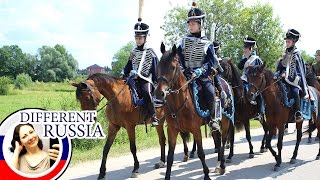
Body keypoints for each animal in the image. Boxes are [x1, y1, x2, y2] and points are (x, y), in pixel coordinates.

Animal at [155, 43, 232, 179]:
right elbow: (170, 157)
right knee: (218, 140)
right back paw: (218, 164)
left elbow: (201, 153)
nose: (160, 93)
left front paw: (206, 175)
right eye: (158, 67)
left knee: (223, 141)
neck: (180, 103)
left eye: (172, 67)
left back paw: (222, 165)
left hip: (226, 120)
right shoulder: (172, 130)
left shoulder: (196, 129)